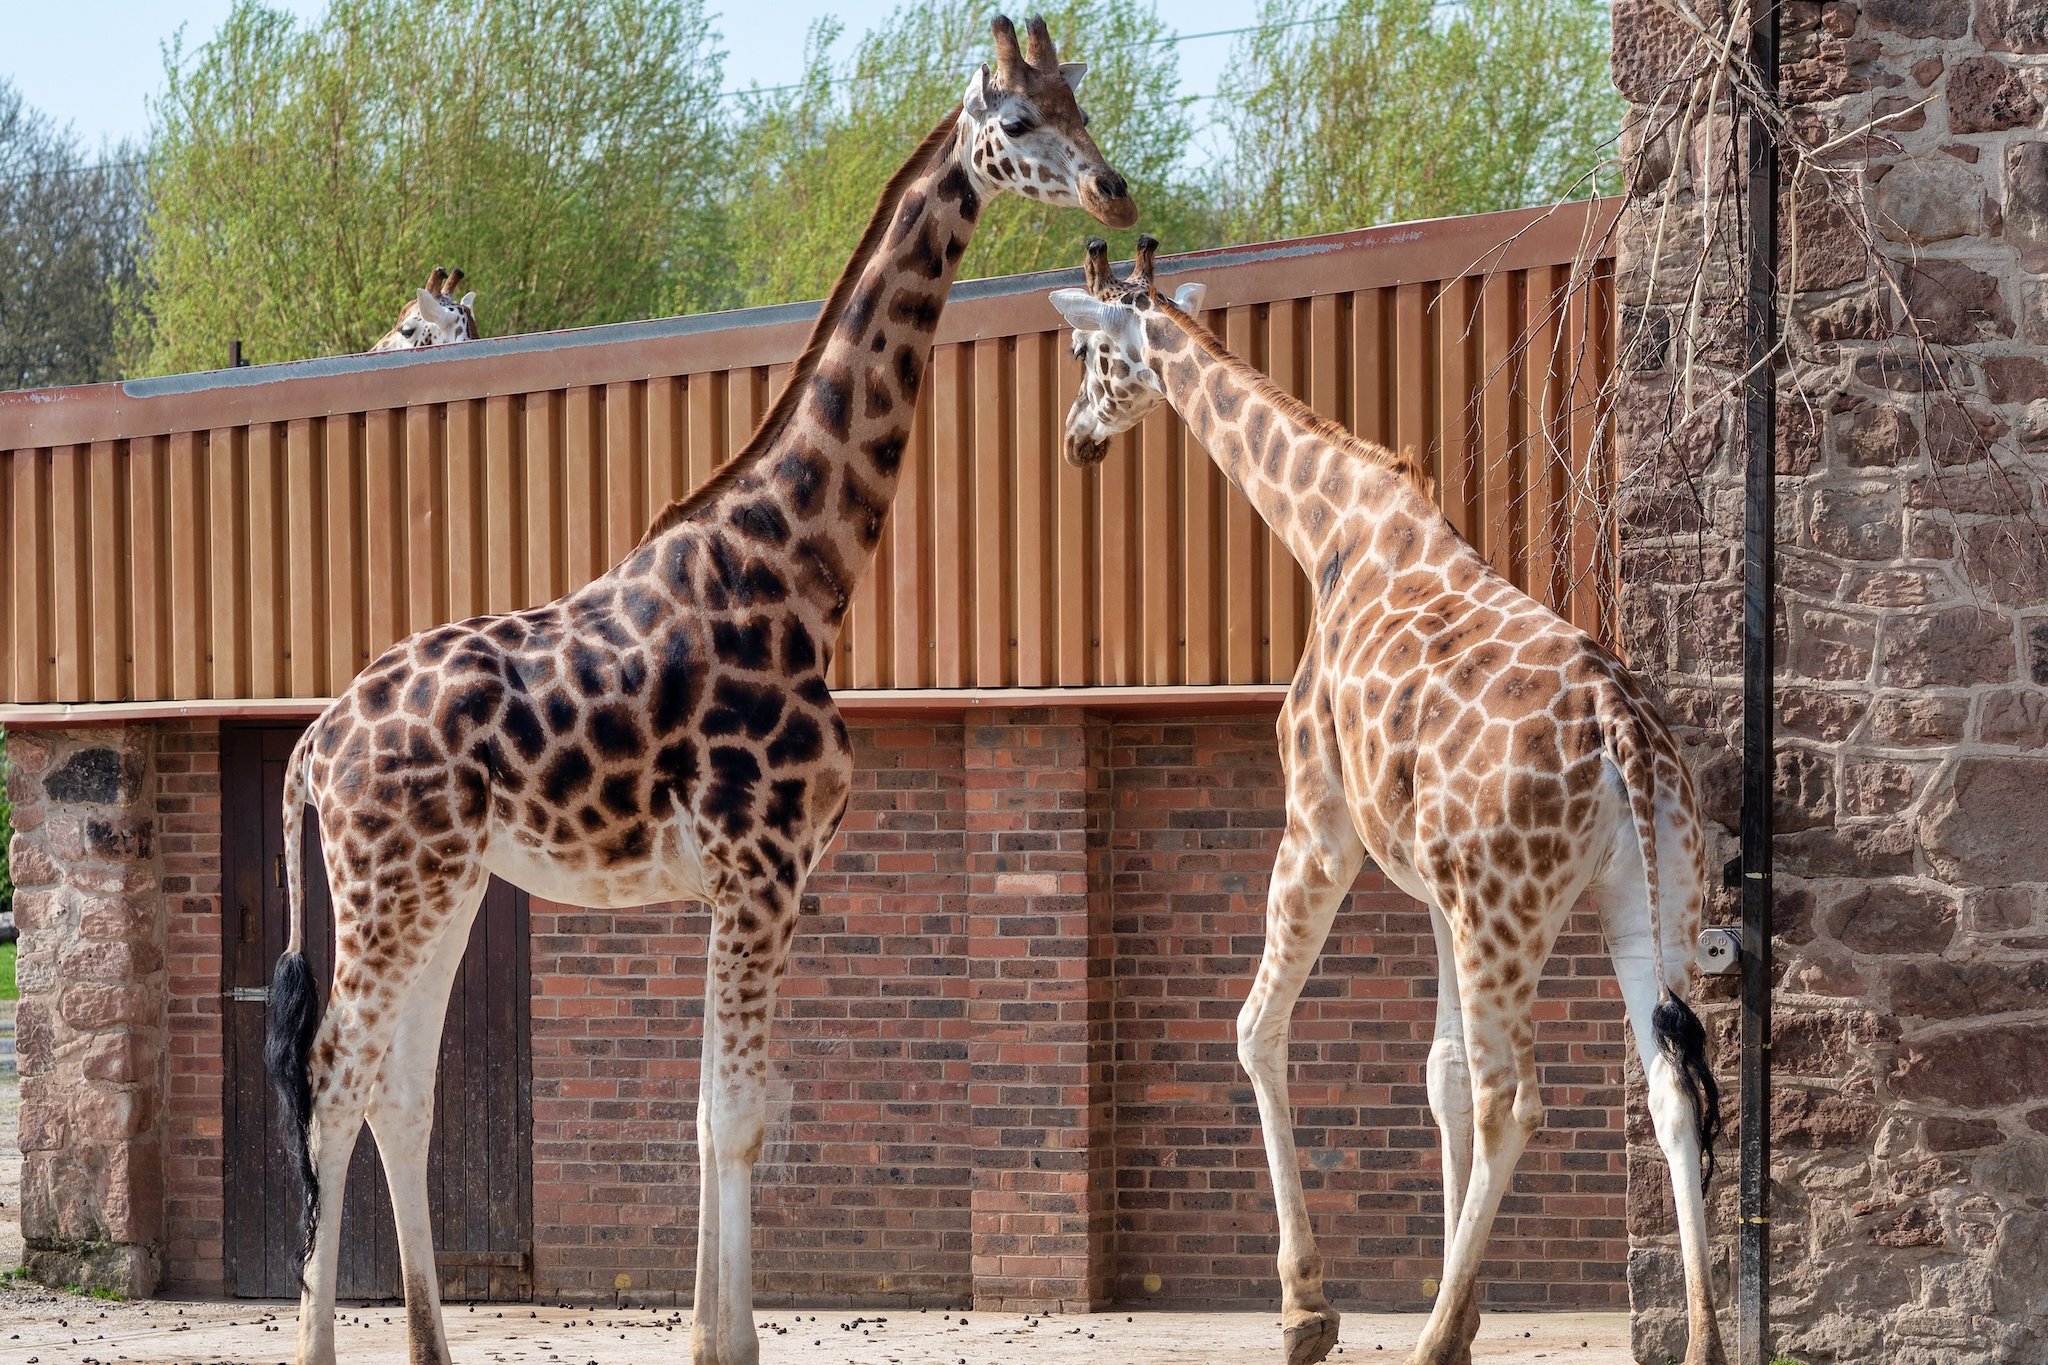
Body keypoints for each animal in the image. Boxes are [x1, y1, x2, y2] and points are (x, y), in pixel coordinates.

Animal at [266, 19, 1134, 1365]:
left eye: (1081, 105)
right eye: (1019, 122)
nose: (1112, 192)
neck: (799, 571)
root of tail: (313, 744)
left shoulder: (769, 878)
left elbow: (732, 1115)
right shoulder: (757, 865)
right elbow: (729, 1117)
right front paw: (718, 1343)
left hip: (445, 885)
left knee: (397, 1091)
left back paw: (429, 1343)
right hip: (388, 882)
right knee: (330, 1077)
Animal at [1047, 238, 1723, 1365]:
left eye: (1084, 350)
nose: (1075, 439)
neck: (1325, 525)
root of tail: (1622, 730)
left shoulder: (1318, 823)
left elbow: (1256, 1028)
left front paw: (1307, 1308)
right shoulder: (1433, 891)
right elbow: (1435, 1071)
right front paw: (1463, 1302)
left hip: (1508, 909)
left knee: (1514, 1099)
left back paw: (1428, 1341)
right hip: (1640, 897)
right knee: (1666, 1088)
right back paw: (1705, 1339)